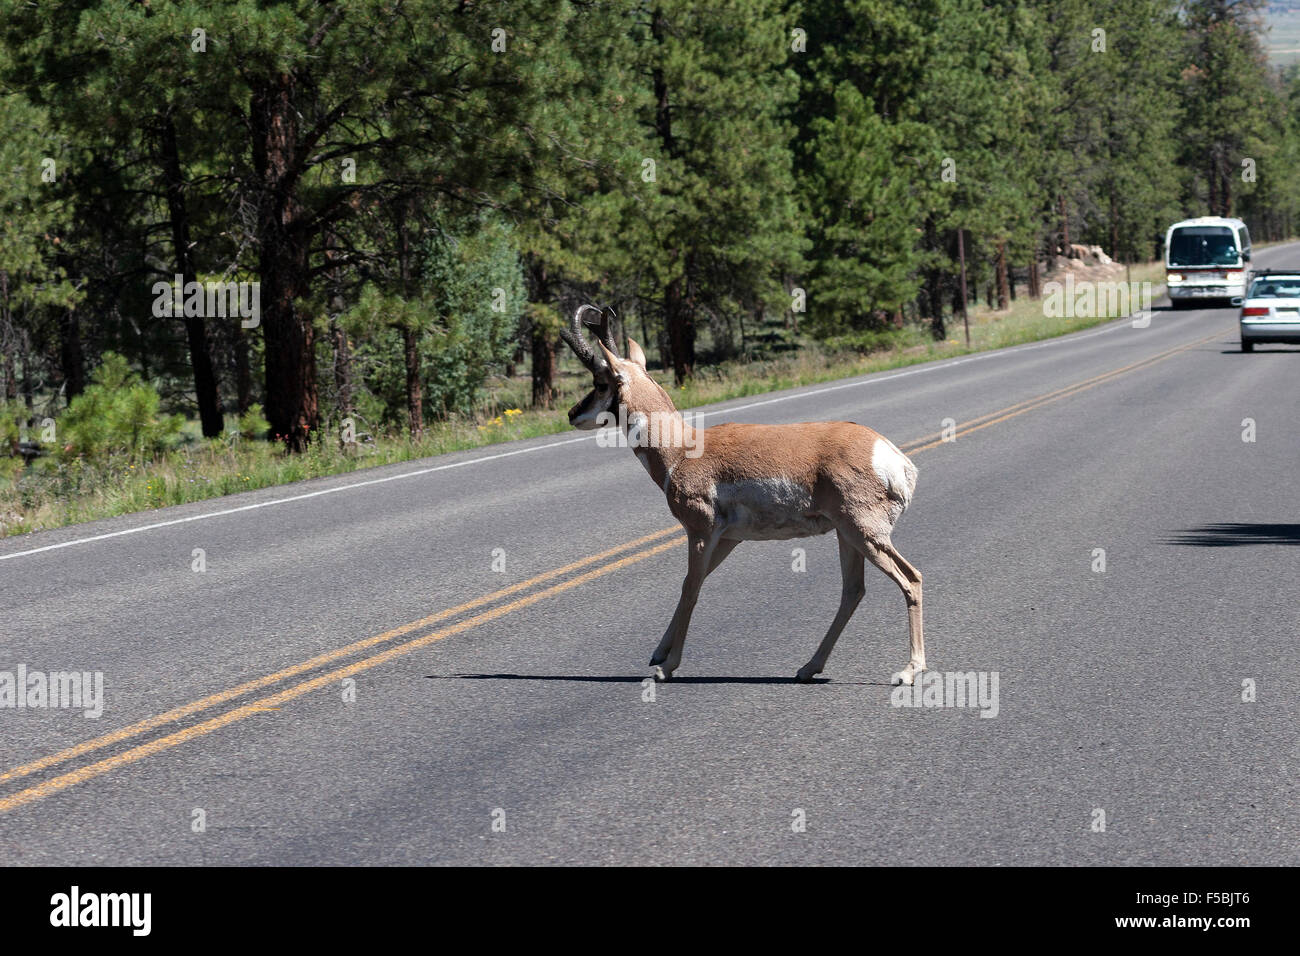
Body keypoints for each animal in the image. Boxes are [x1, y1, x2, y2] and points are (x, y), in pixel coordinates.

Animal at [559, 303, 925, 686]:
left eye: (601, 382)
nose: (571, 413)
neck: (682, 449)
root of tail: (892, 456)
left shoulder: (701, 532)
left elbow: (691, 588)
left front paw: (666, 666)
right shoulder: (729, 538)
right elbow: (693, 582)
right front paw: (658, 653)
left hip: (864, 533)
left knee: (911, 579)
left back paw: (908, 670)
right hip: (847, 535)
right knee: (853, 590)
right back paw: (808, 667)